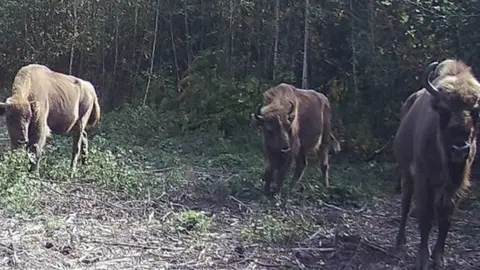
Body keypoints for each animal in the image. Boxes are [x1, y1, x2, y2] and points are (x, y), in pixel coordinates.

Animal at [394, 59, 480, 270]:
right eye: (443, 110)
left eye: (476, 112)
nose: (460, 149)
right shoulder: (424, 180)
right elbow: (426, 217)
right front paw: (423, 259)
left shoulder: (455, 185)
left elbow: (445, 219)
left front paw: (439, 258)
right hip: (407, 175)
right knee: (405, 205)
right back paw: (400, 243)